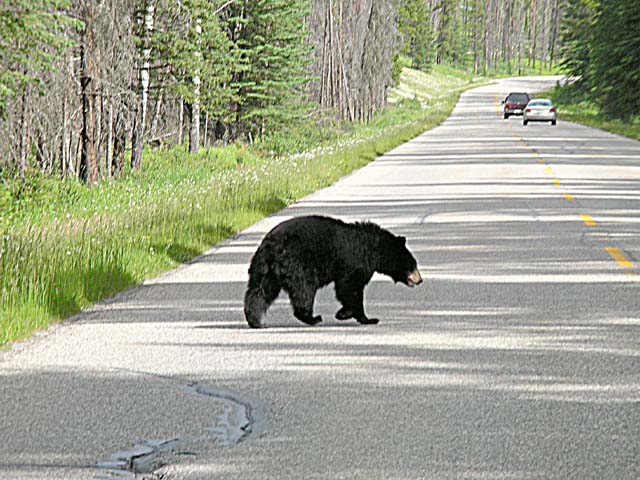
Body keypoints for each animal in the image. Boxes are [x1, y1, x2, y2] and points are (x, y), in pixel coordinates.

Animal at [242, 216, 422, 328]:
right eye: (413, 264)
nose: (420, 280)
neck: (375, 250)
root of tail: (270, 245)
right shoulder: (354, 263)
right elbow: (350, 288)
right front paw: (361, 317)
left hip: (265, 270)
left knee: (259, 291)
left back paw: (256, 321)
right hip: (297, 264)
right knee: (304, 289)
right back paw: (313, 317)